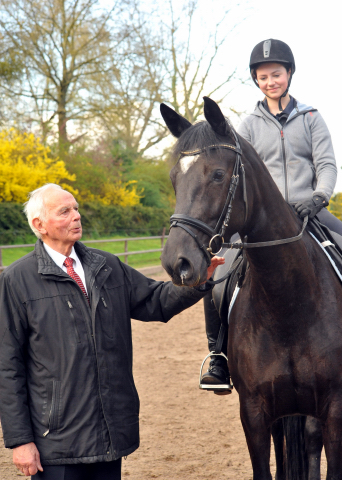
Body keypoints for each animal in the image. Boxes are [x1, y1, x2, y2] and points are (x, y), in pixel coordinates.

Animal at [160, 97, 342, 480]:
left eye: (217, 175)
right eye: (174, 179)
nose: (176, 263)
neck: (290, 303)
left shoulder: (335, 407)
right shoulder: (255, 413)